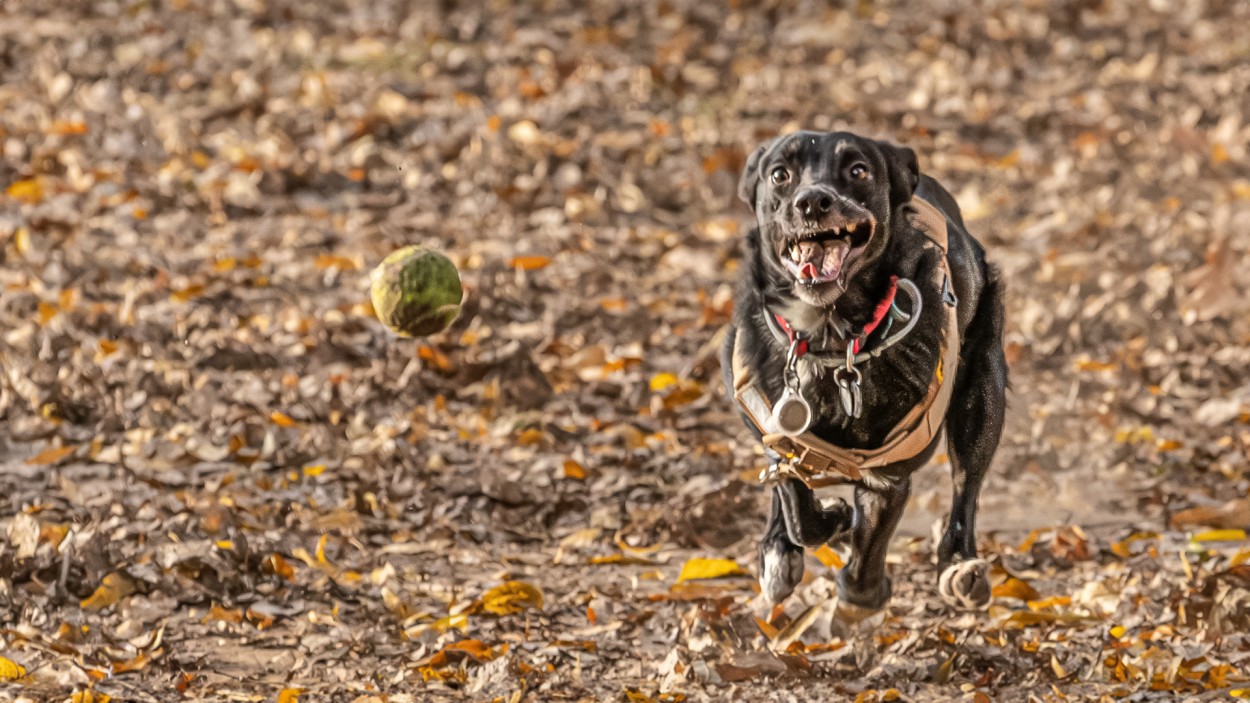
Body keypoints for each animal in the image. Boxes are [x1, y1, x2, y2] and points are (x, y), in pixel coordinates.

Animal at [725, 130, 1005, 612]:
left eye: (858, 170)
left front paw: (862, 594)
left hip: (984, 392)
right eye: (779, 174)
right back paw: (781, 547)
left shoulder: (888, 475)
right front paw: (823, 526)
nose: (812, 202)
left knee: (965, 482)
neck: (831, 341)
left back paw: (958, 565)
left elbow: (866, 552)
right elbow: (795, 500)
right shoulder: (776, 426)